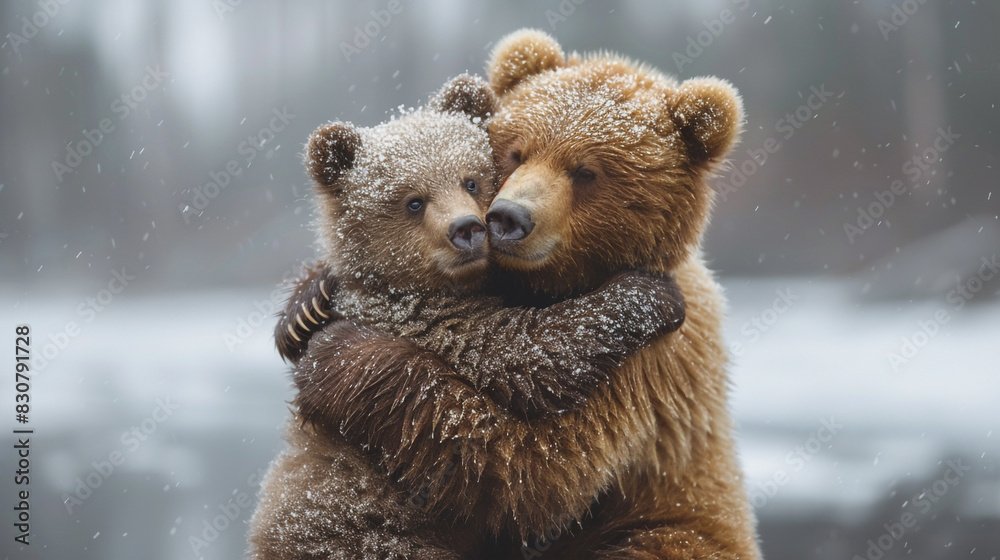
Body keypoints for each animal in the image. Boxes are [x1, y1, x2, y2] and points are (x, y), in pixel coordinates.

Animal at [278, 30, 762, 559]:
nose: (505, 218)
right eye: (518, 152)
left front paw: (334, 350)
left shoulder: (648, 374)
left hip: (667, 530)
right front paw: (307, 309)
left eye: (585, 171)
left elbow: (535, 467)